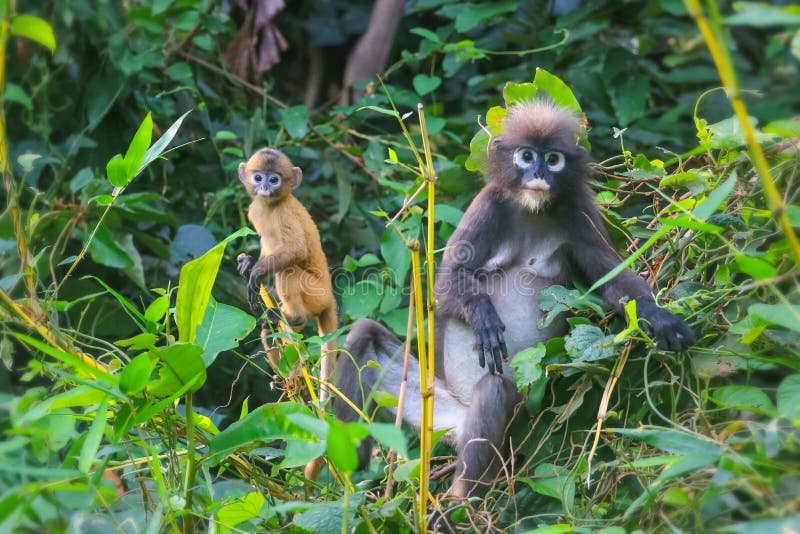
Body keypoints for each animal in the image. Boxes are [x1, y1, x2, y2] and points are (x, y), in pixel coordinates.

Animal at [334, 99, 696, 506]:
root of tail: (459, 420)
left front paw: (658, 317)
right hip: (433, 400)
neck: (531, 208)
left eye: (552, 159)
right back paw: (350, 476)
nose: (538, 172)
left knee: (492, 393)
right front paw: (485, 318)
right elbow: (446, 285)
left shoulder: (578, 208)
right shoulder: (488, 203)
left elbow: (613, 279)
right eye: (526, 156)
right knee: (363, 333)